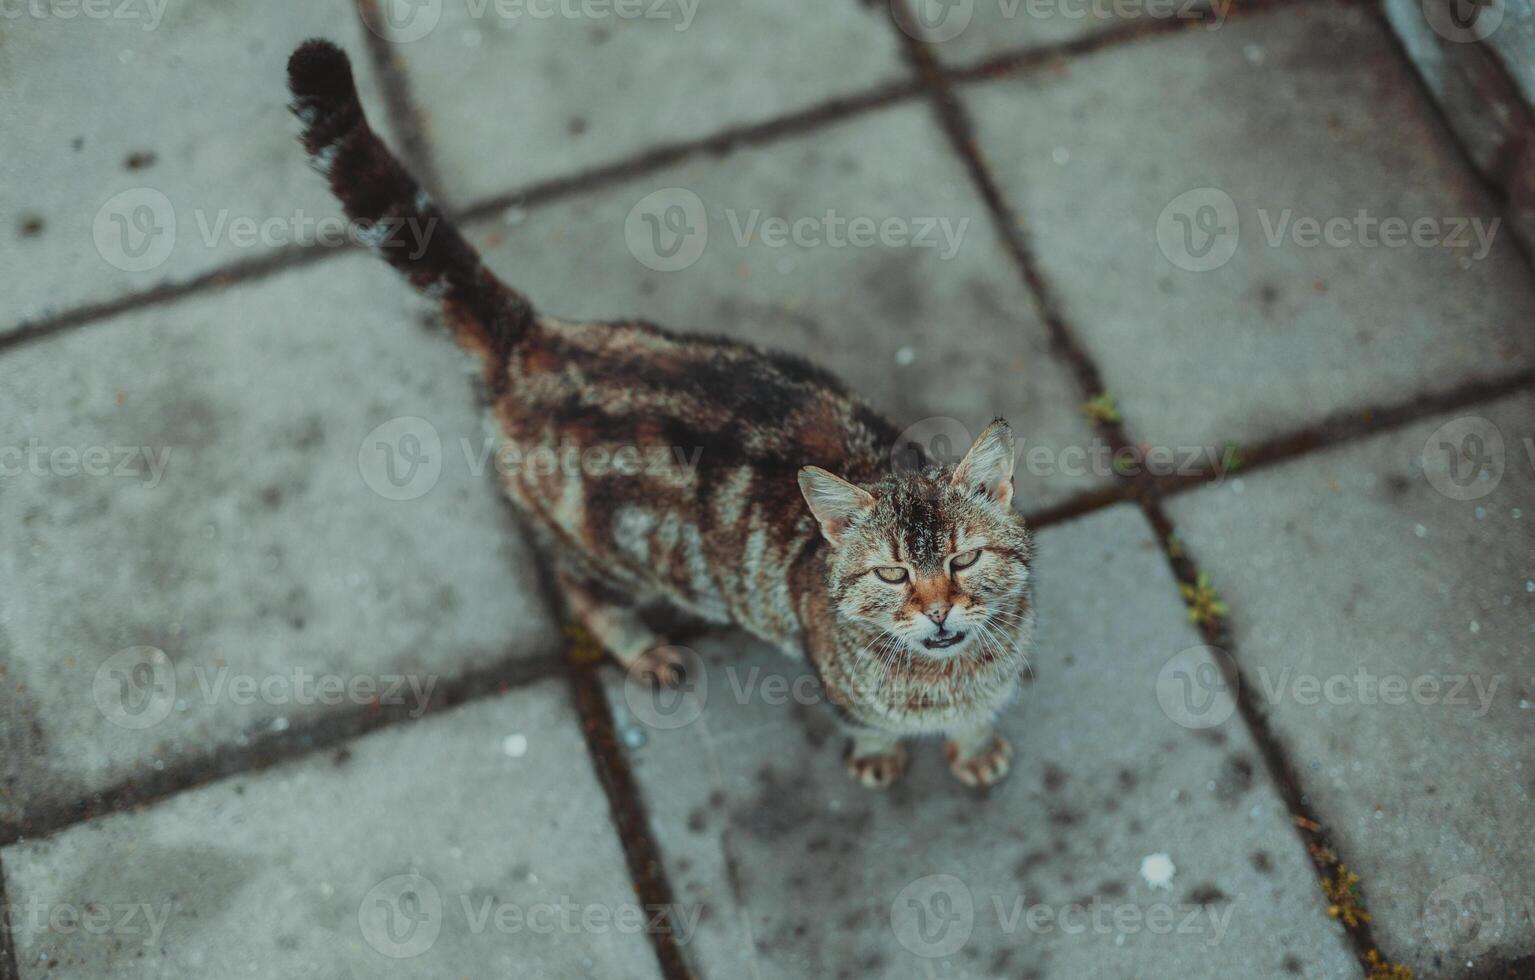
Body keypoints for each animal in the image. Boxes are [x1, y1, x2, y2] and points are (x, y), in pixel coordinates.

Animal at [285, 40, 1031, 792]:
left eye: (964, 558)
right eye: (891, 575)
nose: (937, 610)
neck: (949, 673)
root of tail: (533, 338)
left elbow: (976, 715)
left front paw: (973, 745)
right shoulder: (838, 687)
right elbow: (868, 723)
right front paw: (883, 754)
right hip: (603, 552)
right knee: (577, 591)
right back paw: (640, 648)